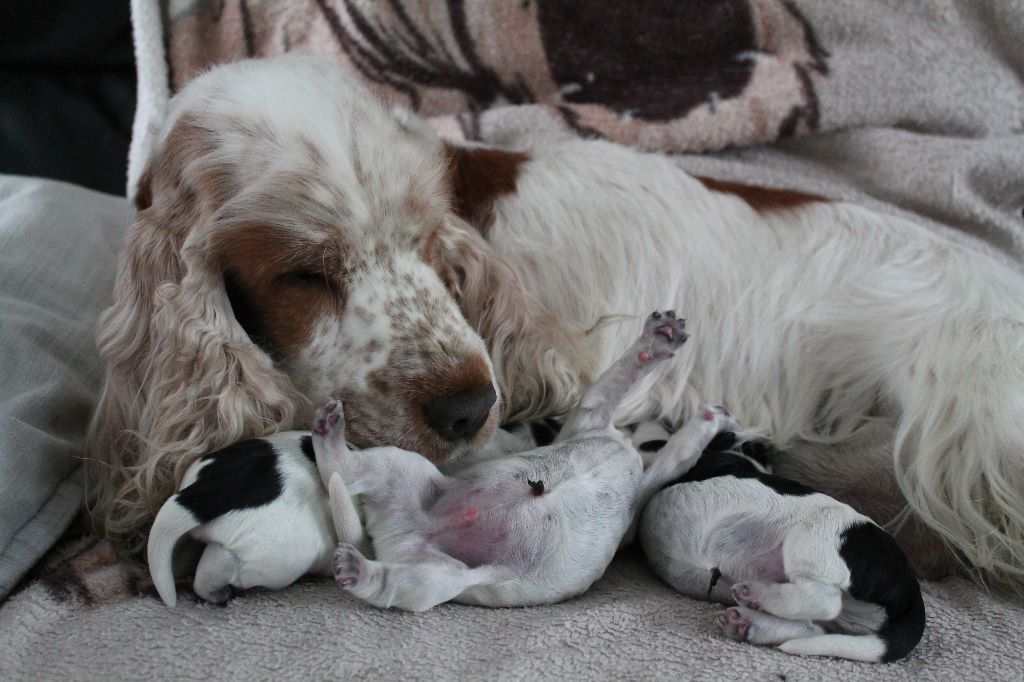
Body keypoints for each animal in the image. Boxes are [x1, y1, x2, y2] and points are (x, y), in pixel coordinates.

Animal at [313, 311, 737, 606]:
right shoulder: (593, 416)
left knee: (357, 490)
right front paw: (661, 346)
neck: (625, 443)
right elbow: (626, 384)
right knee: (384, 580)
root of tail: (392, 537)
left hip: (432, 558)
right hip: (429, 564)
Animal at [634, 432, 925, 659]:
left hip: (812, 539)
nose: (766, 443)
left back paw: (757, 595)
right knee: (814, 626)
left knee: (825, 599)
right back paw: (748, 624)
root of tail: (911, 588)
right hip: (845, 617)